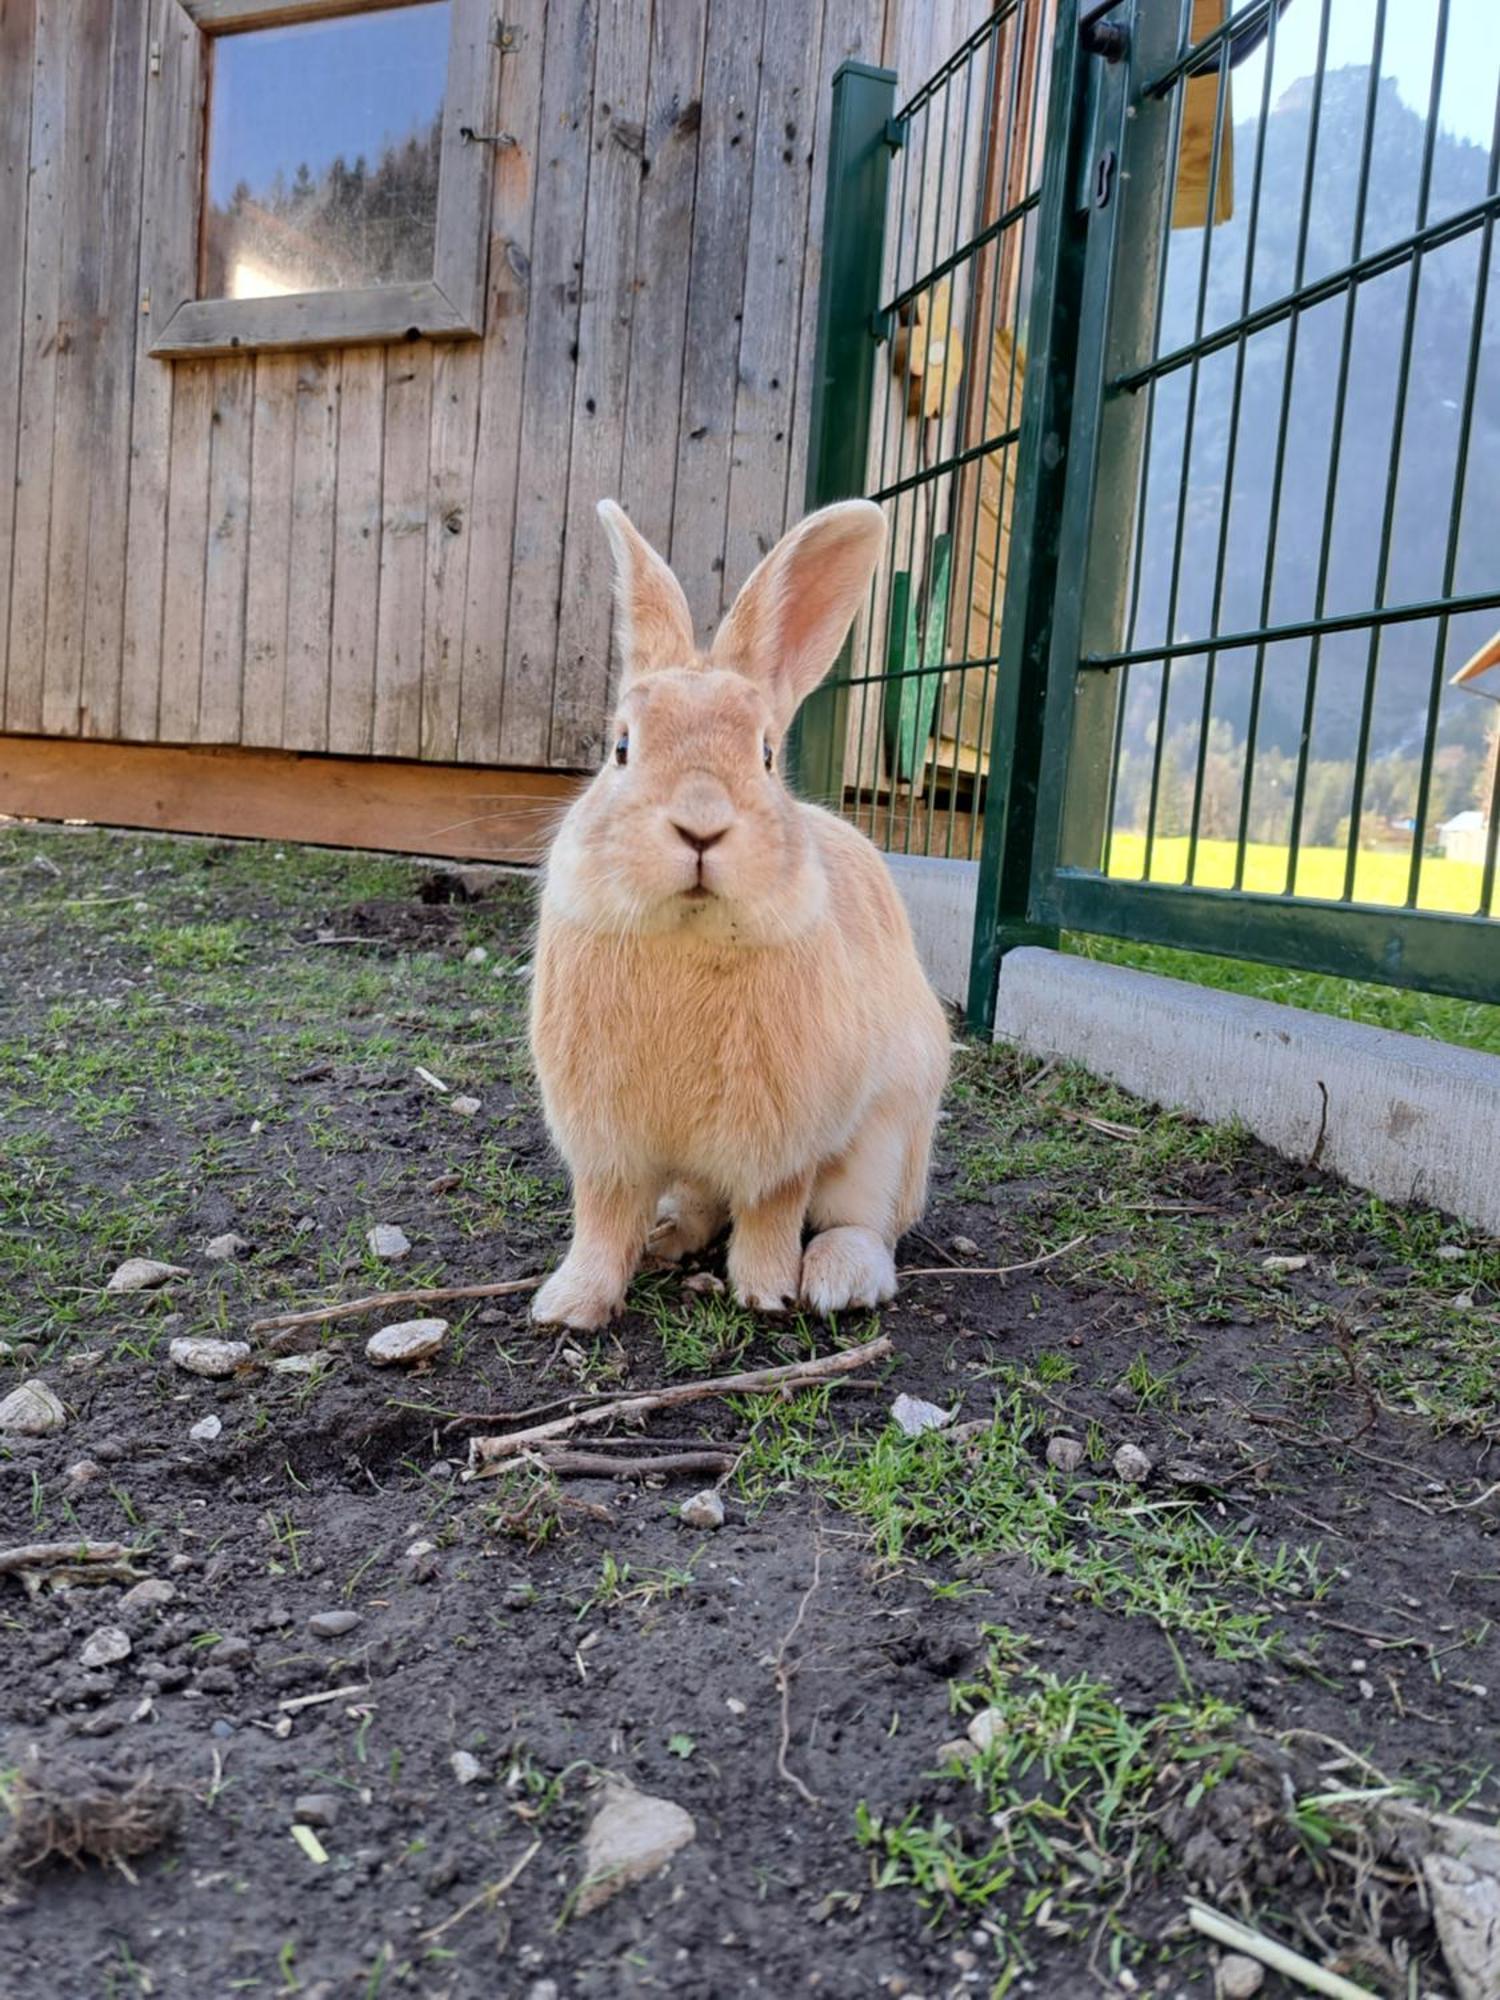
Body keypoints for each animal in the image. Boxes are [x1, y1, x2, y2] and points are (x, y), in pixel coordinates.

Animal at [528, 496, 952, 1328]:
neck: (688, 934)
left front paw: (765, 1292)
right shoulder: (607, 1151)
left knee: (868, 1221)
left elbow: (772, 1211)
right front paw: (569, 1304)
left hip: (889, 1139)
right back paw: (666, 1236)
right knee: (697, 1202)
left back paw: (835, 1278)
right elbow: (600, 1221)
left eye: (765, 754)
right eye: (621, 747)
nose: (700, 827)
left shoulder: (788, 1146)